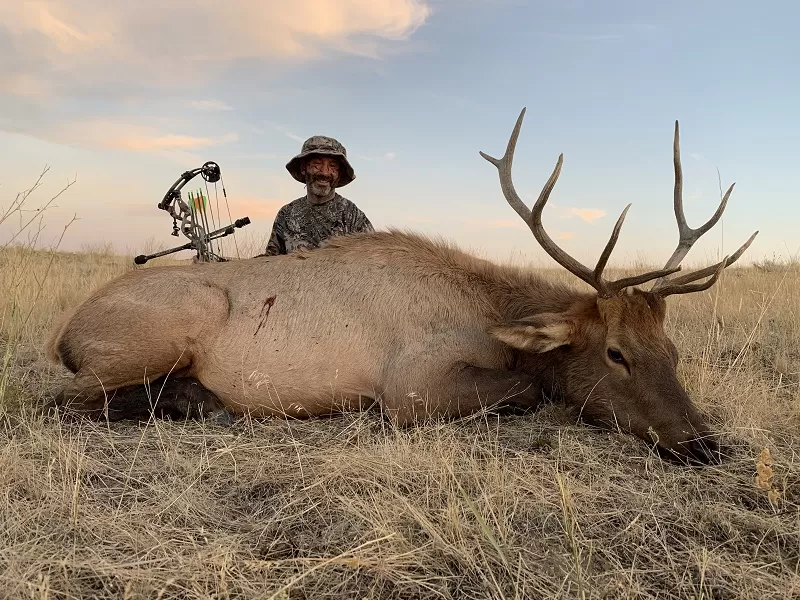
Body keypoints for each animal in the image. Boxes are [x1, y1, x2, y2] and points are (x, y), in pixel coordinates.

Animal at [42, 108, 756, 464]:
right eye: (615, 353)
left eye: (673, 352)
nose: (703, 443)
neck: (487, 315)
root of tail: (64, 334)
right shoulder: (411, 387)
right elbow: (530, 391)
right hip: (155, 337)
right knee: (59, 400)